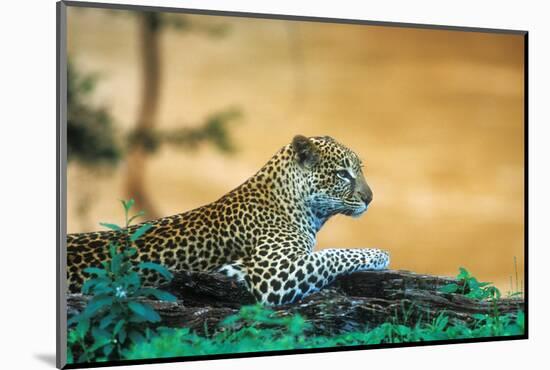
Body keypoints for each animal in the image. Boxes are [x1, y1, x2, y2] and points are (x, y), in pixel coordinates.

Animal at [67, 134, 390, 304]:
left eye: (359, 170)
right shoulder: (275, 273)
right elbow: (333, 254)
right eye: (343, 174)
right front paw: (380, 253)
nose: (370, 198)